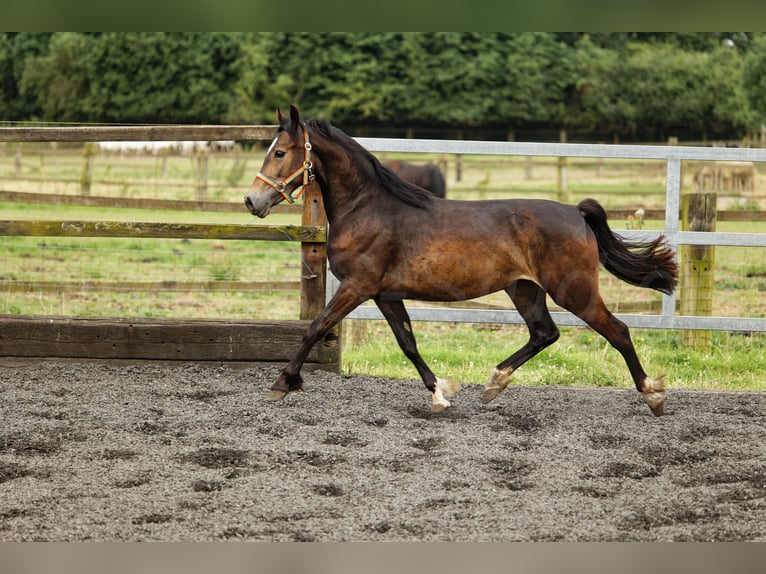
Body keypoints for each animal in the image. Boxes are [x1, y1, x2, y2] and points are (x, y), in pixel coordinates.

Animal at [244, 106, 680, 416]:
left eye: (280, 152)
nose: (252, 201)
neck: (368, 207)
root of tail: (576, 212)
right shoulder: (385, 294)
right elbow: (408, 343)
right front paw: (440, 393)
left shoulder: (357, 286)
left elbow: (315, 328)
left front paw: (282, 383)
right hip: (525, 289)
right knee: (545, 333)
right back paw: (494, 383)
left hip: (574, 290)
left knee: (617, 331)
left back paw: (653, 396)